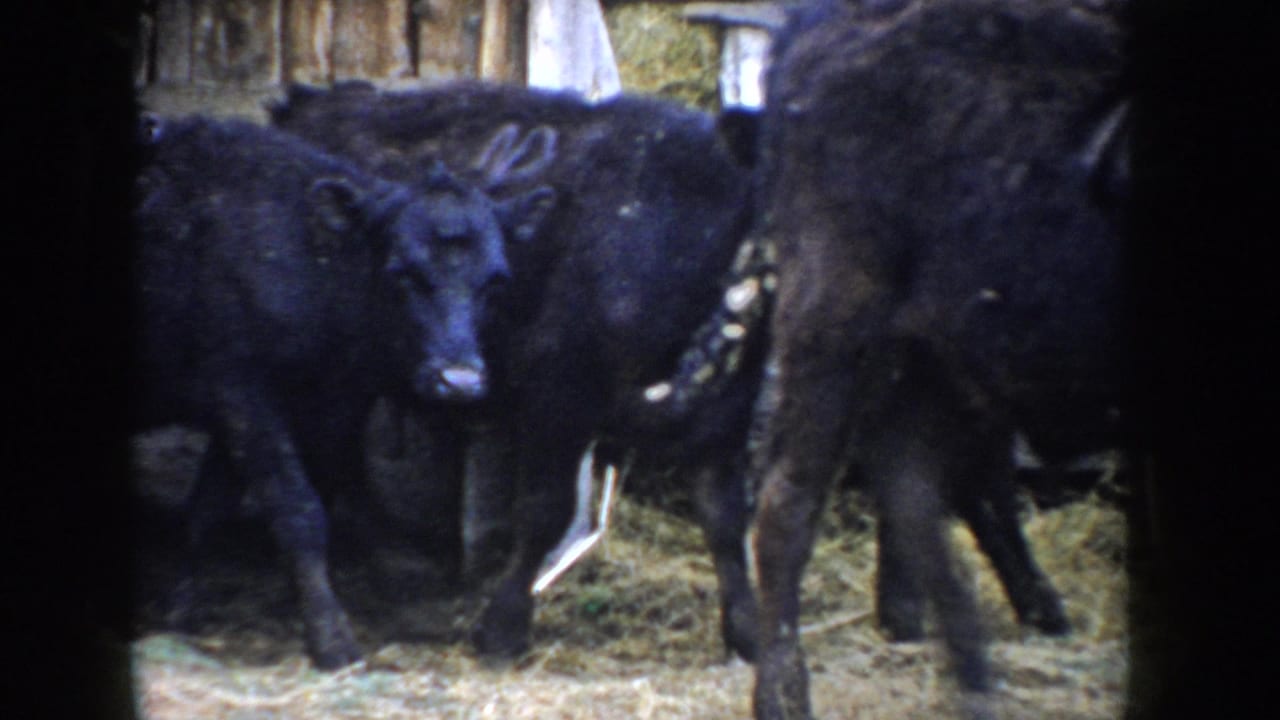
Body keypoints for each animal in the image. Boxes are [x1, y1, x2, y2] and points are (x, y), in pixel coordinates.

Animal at [133, 114, 553, 668]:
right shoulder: (241, 389)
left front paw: (181, 610)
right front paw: (331, 638)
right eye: (402, 272)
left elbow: (210, 506)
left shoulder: (301, 404)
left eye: (496, 280)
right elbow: (298, 509)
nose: (459, 380)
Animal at [269, 81, 765, 662]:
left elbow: (726, 521)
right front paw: (504, 626)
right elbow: (545, 511)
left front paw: (749, 633)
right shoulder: (559, 403)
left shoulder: (722, 423)